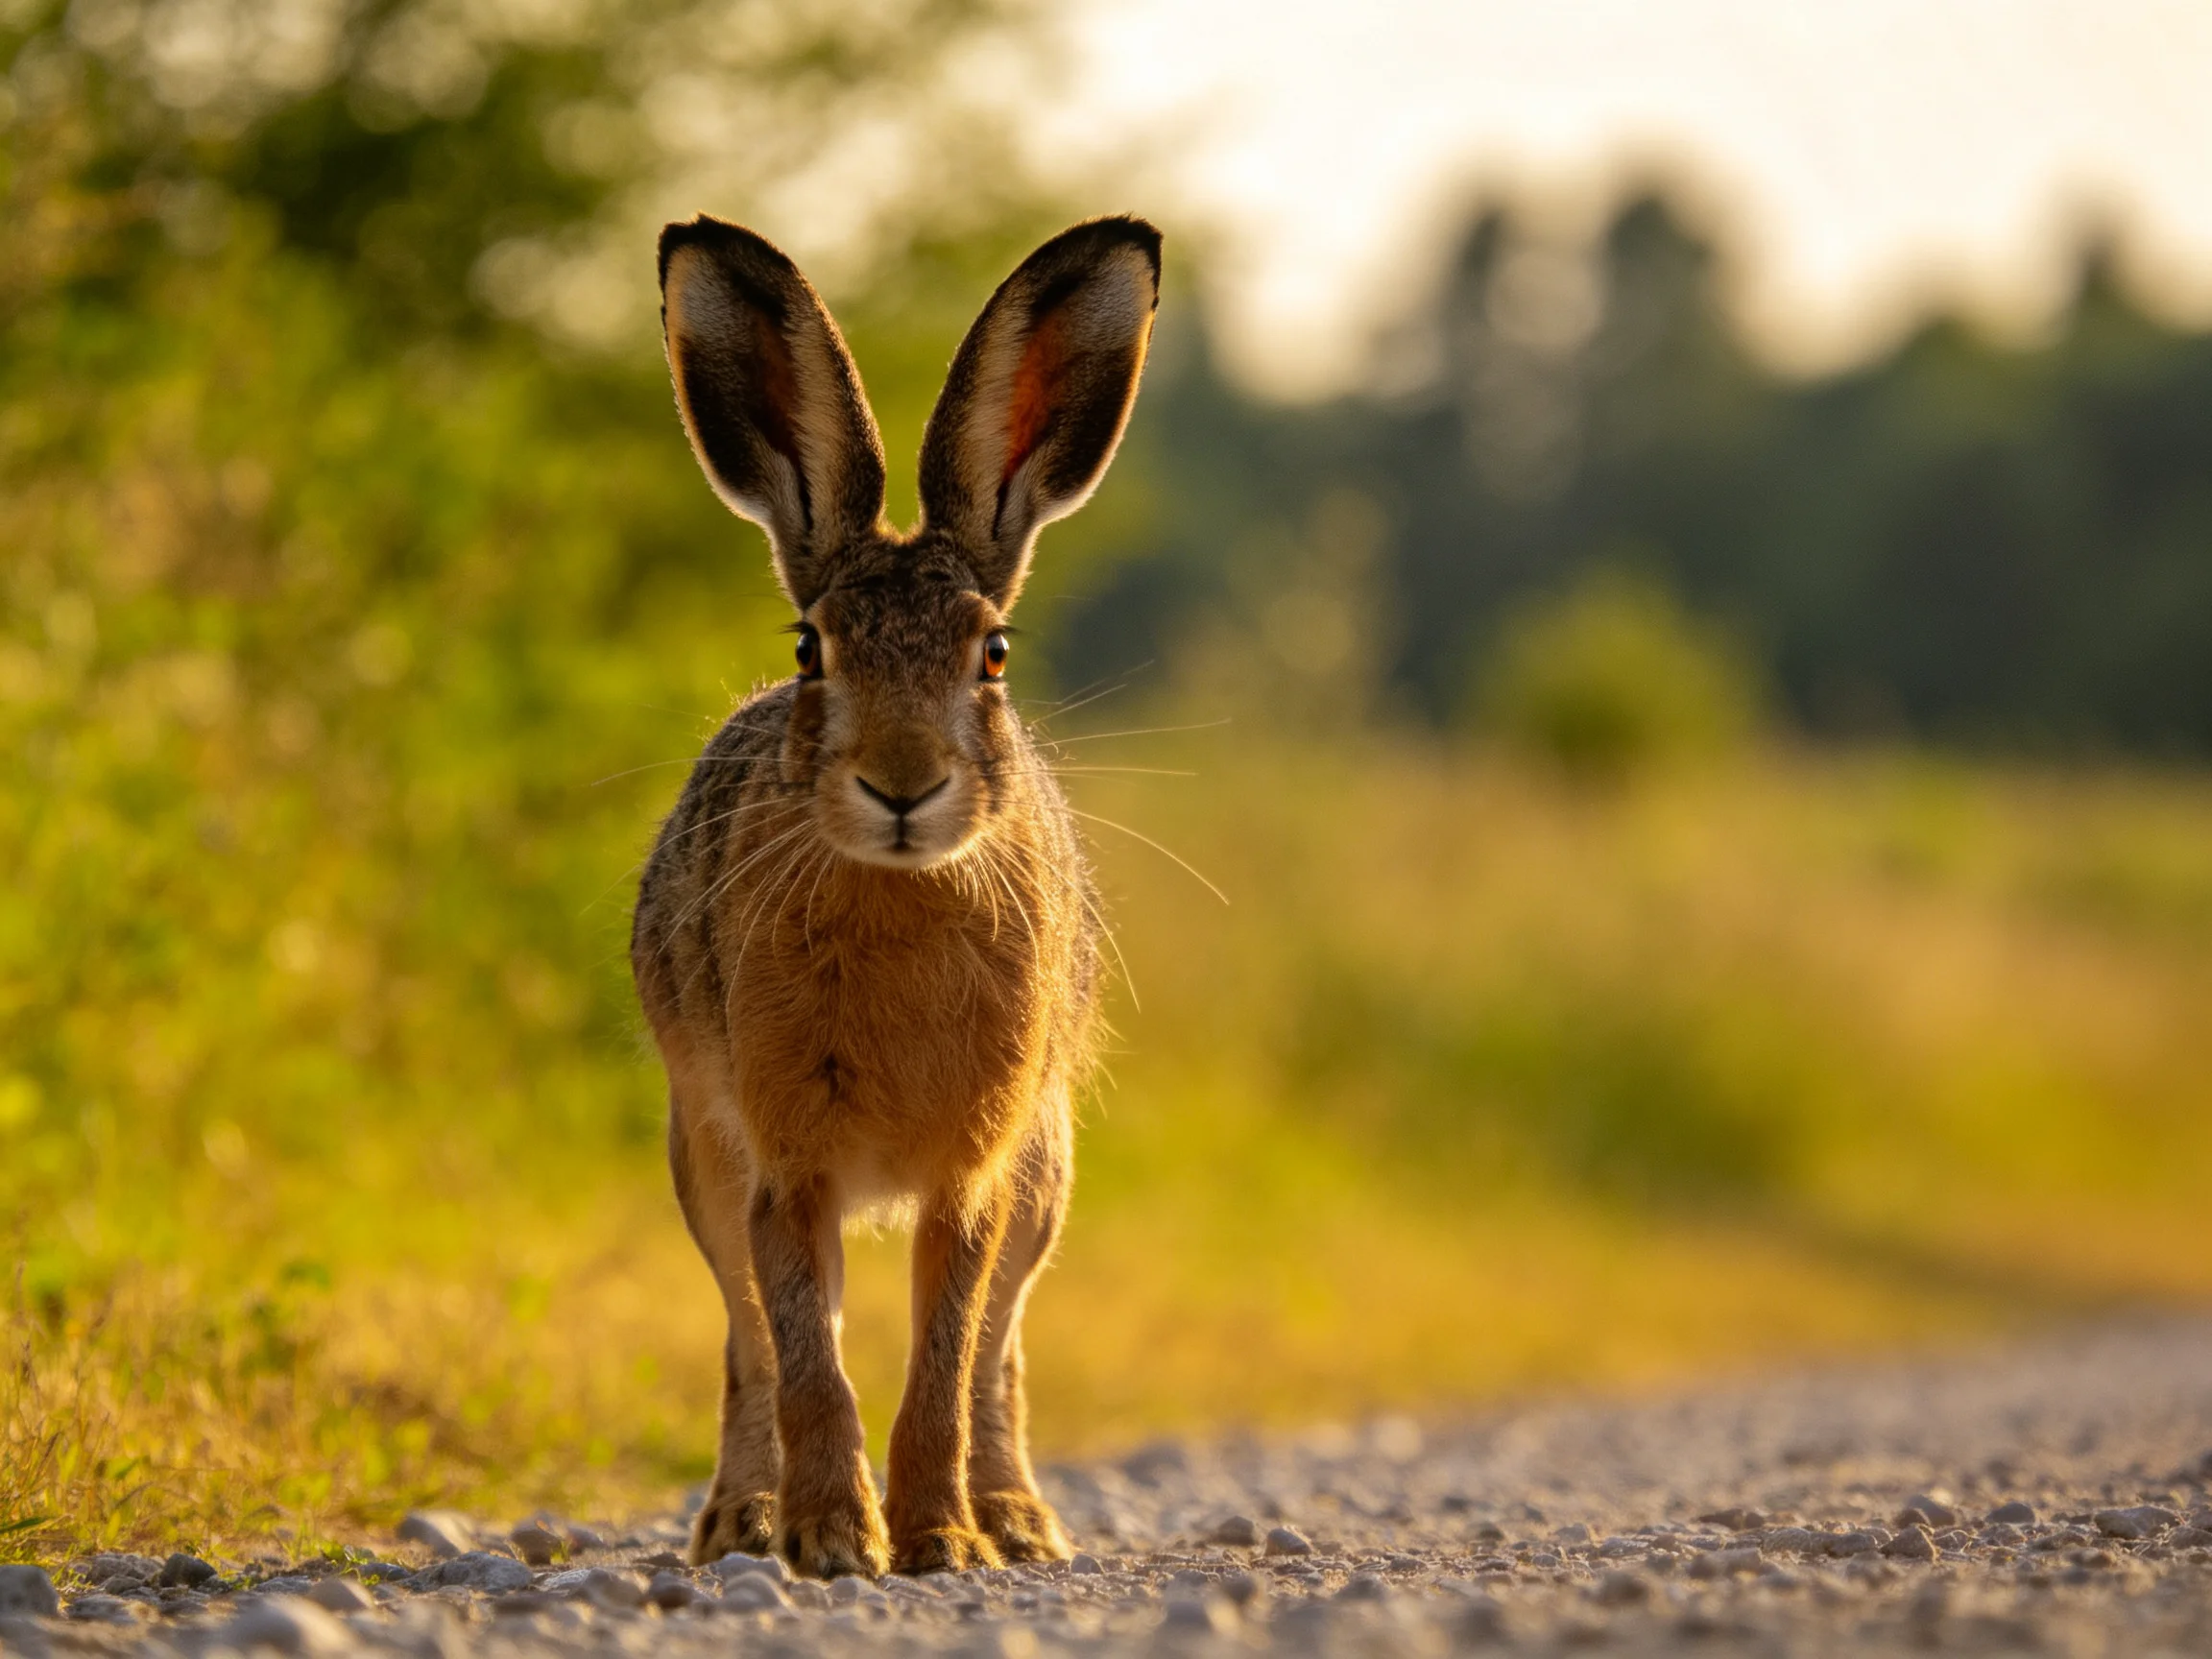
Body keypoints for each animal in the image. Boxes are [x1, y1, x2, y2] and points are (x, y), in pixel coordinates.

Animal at [631, 214, 1160, 1579]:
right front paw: (828, 1540)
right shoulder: (784, 1165)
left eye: (995, 653)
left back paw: (1018, 1520)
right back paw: (742, 1521)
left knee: (1002, 1355)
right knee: (748, 1347)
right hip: (701, 1161)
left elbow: (945, 1357)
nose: (903, 786)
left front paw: (941, 1542)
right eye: (809, 648)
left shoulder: (973, 1174)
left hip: (1046, 1179)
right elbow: (809, 1360)